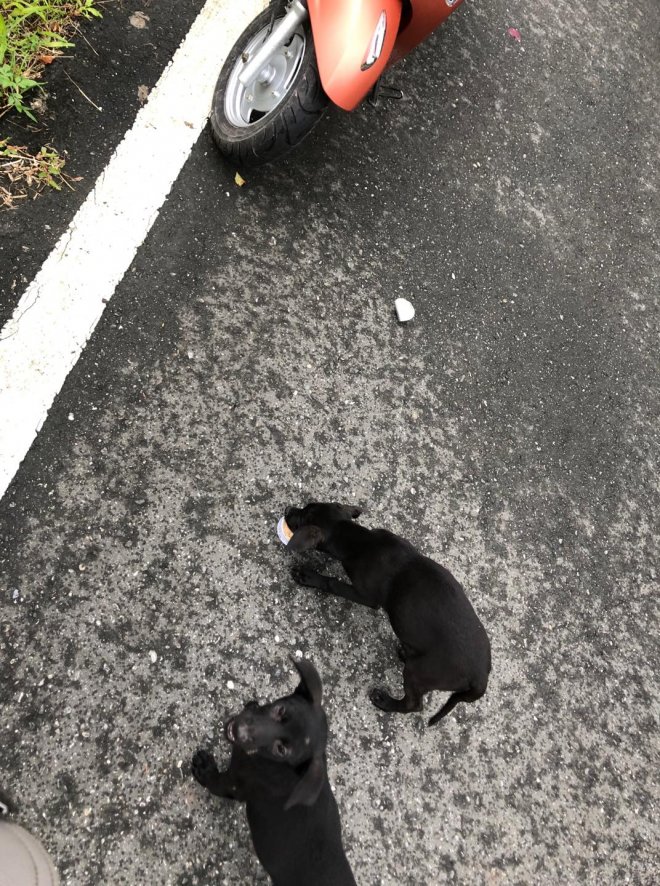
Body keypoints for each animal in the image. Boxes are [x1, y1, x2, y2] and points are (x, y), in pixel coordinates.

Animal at [191, 658, 357, 886]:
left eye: (281, 750)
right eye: (280, 710)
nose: (240, 730)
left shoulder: (236, 784)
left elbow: (215, 782)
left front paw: (204, 769)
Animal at [284, 502, 491, 725]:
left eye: (301, 518)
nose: (287, 509)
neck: (361, 541)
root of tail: (480, 678)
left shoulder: (365, 595)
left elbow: (332, 583)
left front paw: (307, 576)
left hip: (419, 672)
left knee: (414, 704)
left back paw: (384, 701)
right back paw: (404, 653)